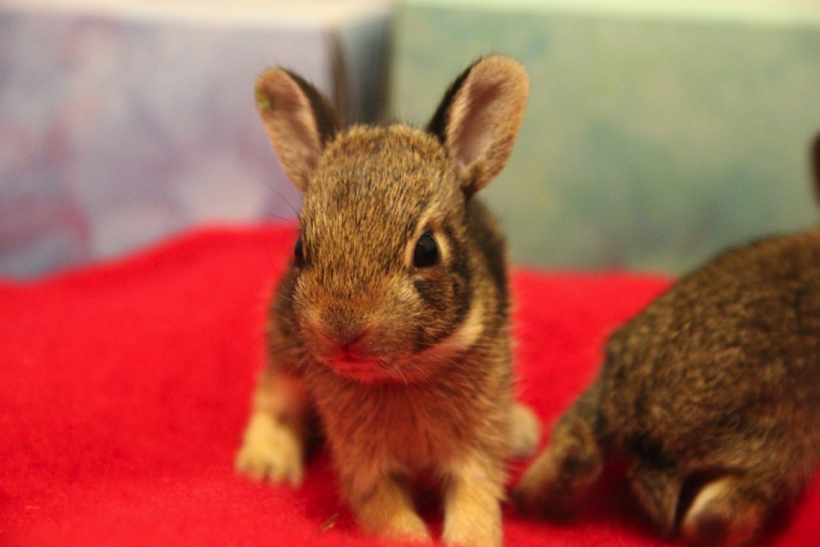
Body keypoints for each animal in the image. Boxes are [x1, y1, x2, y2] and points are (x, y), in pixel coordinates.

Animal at [234, 56, 540, 547]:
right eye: (300, 248)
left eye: (427, 250)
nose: (341, 332)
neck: (403, 374)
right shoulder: (365, 463)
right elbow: (385, 510)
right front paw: (412, 537)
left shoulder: (476, 447)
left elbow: (474, 497)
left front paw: (472, 538)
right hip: (284, 342)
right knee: (277, 397)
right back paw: (266, 465)